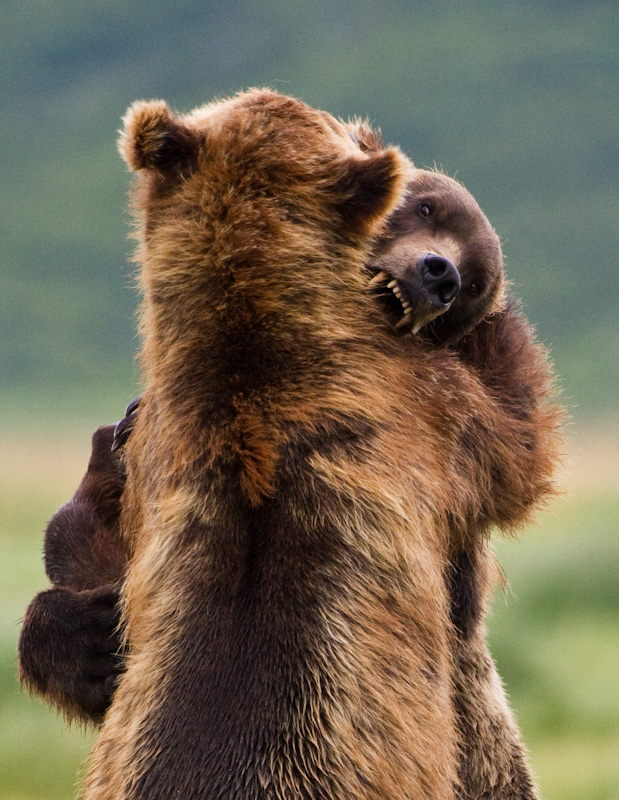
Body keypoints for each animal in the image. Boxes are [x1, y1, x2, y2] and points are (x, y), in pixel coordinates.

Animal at [19, 89, 564, 800]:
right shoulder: (436, 413)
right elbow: (519, 439)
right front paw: (86, 643)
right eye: (420, 208)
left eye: (468, 278)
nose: (443, 273)